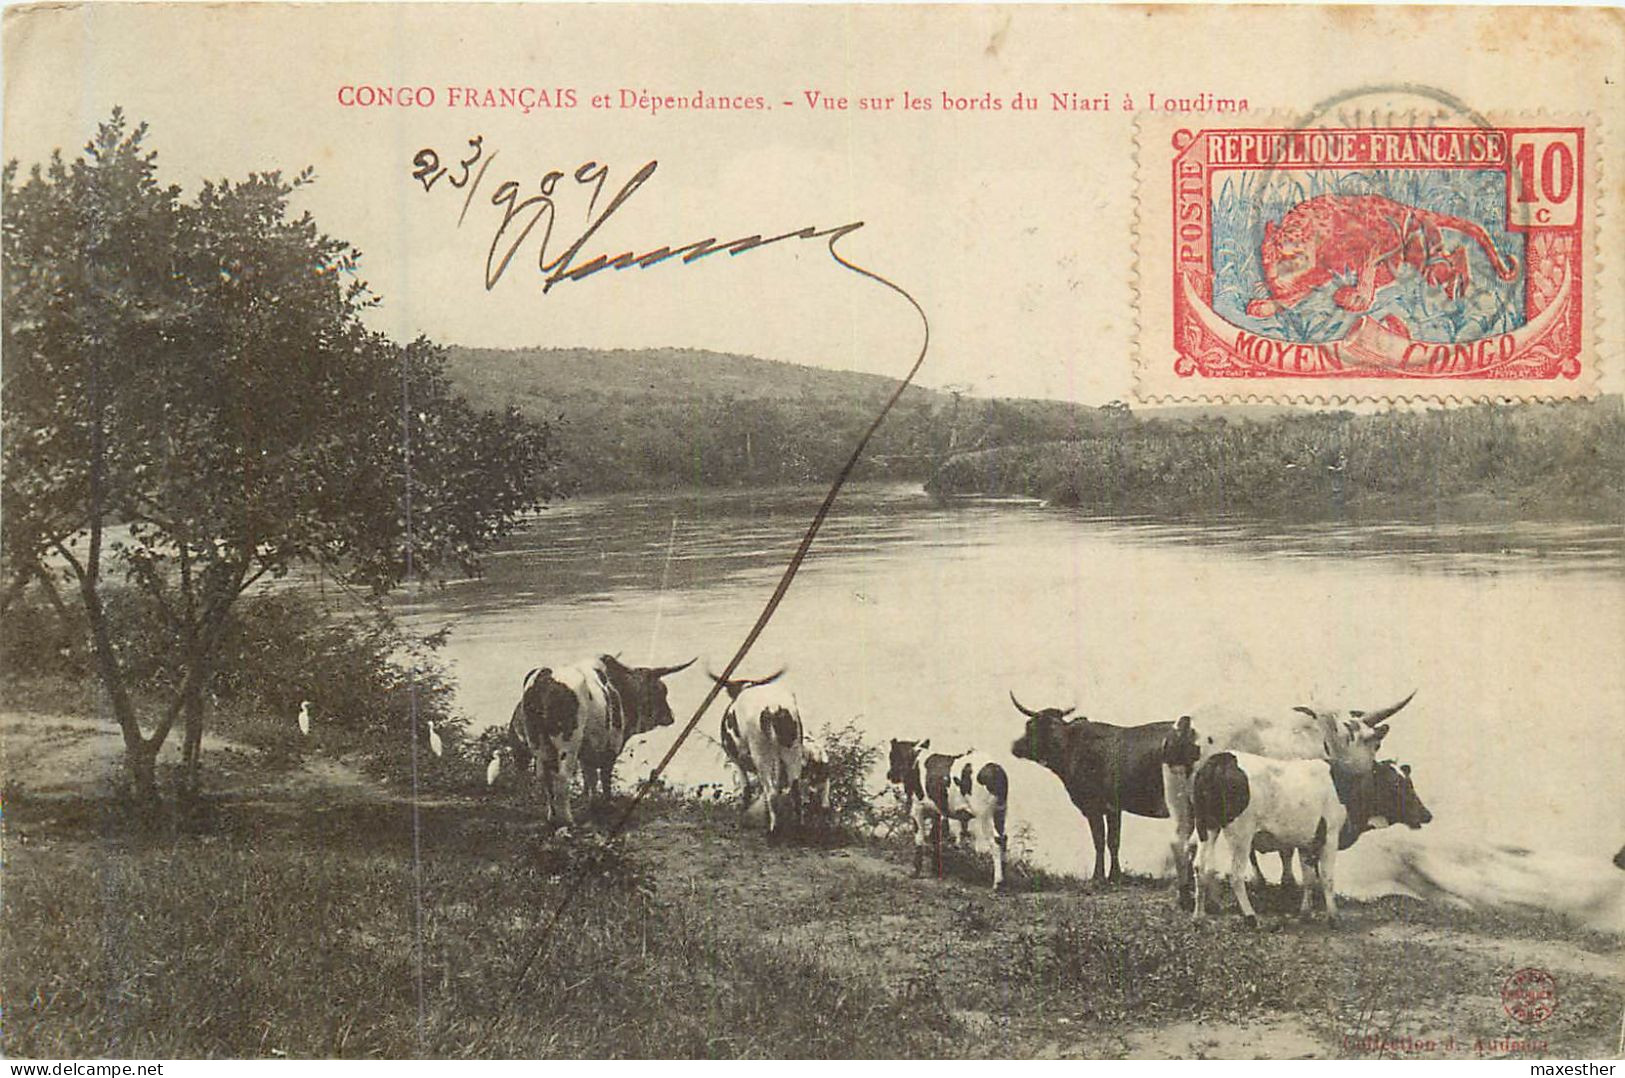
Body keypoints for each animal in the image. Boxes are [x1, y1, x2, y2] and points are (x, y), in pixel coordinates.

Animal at [503, 656, 689, 825]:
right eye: (661, 690)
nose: (671, 717)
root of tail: (544, 676)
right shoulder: (612, 745)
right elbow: (604, 777)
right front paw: (607, 805)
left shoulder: (587, 751)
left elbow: (590, 777)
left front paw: (593, 805)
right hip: (567, 744)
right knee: (562, 777)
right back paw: (567, 820)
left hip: (538, 743)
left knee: (544, 776)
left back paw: (552, 817)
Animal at [718, 669, 806, 838]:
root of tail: (773, 708)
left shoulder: (736, 760)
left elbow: (746, 789)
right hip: (792, 751)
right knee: (795, 790)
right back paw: (798, 830)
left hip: (761, 755)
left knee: (771, 791)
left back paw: (773, 832)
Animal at [884, 741, 1007, 891]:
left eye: (892, 755)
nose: (889, 775)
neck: (915, 760)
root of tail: (995, 768)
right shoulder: (937, 811)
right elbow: (935, 838)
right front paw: (935, 870)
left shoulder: (917, 807)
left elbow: (919, 839)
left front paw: (915, 872)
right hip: (1000, 813)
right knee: (1004, 839)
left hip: (985, 815)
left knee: (995, 841)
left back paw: (997, 883)